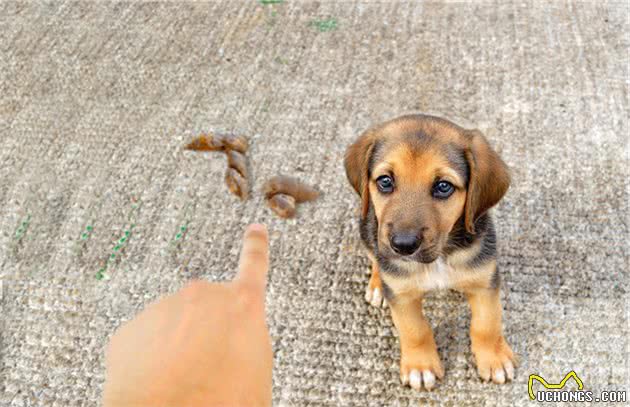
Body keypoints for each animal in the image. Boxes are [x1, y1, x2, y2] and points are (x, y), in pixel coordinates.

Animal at [346, 114, 520, 392]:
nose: (403, 245)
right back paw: (377, 285)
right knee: (374, 257)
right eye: (385, 181)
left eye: (443, 186)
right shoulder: (402, 295)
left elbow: (487, 325)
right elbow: (415, 330)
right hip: (366, 228)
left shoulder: (484, 282)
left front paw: (494, 359)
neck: (439, 257)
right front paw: (421, 366)